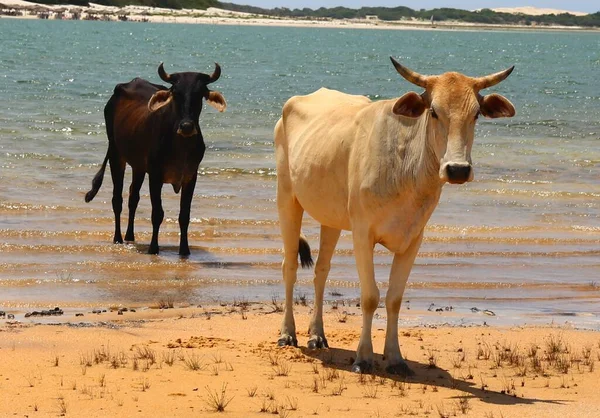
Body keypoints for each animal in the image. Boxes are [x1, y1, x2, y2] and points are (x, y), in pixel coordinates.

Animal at [84, 62, 225, 255]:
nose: (187, 126)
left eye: (200, 93)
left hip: (138, 166)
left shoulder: (191, 176)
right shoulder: (155, 175)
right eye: (176, 93)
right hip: (115, 154)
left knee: (133, 197)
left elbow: (184, 215)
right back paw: (118, 238)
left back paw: (130, 236)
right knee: (117, 199)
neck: (181, 145)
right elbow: (157, 213)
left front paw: (184, 250)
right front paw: (153, 248)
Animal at [274, 56, 512, 376]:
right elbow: (370, 297)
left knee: (321, 270)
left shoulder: (413, 240)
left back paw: (317, 335)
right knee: (289, 265)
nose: (458, 169)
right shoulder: (363, 235)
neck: (406, 170)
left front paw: (395, 358)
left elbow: (394, 299)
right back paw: (288, 334)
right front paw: (363, 357)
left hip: (331, 218)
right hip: (287, 199)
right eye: (434, 112)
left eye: (476, 114)